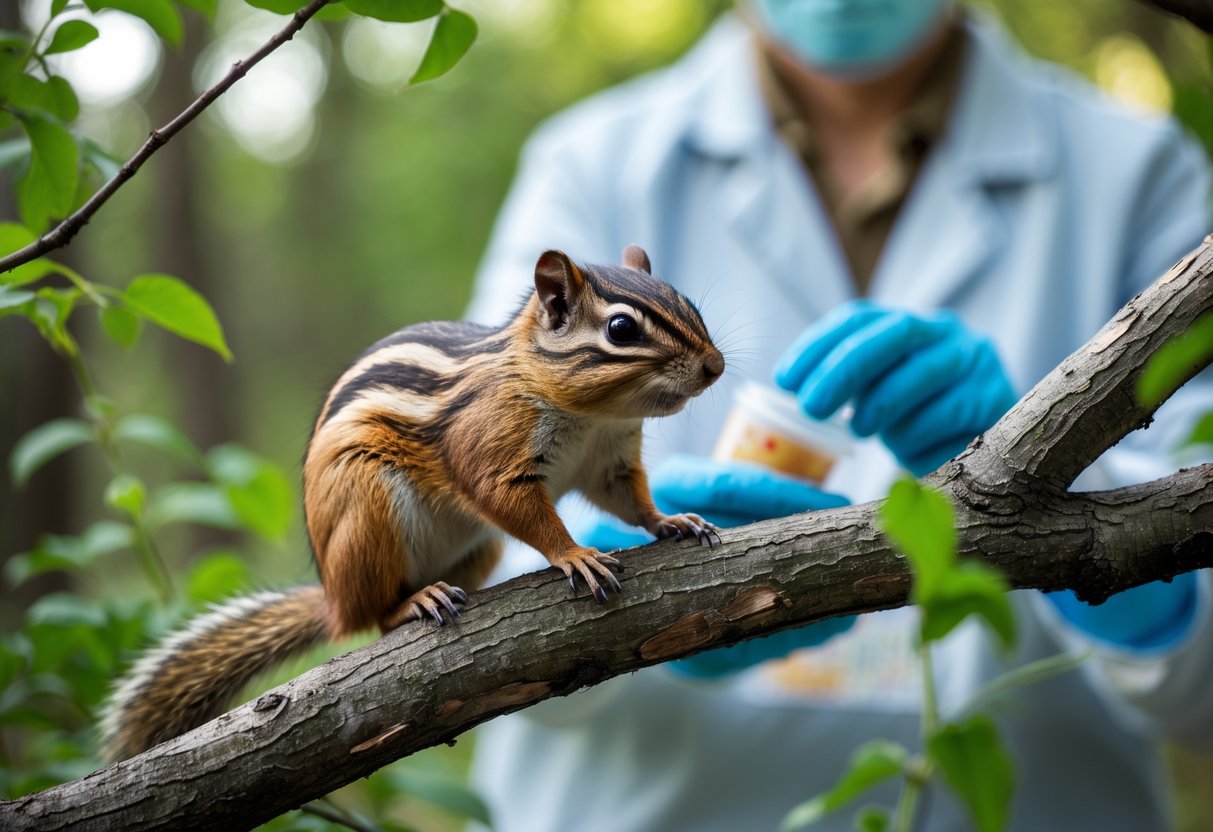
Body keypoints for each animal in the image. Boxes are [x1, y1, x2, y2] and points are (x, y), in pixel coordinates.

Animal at [100, 246, 725, 760]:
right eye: (621, 329)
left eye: (687, 300)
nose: (715, 367)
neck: (594, 415)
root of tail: (332, 596)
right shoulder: (491, 445)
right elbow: (510, 501)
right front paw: (574, 554)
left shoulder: (609, 461)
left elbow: (631, 501)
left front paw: (672, 521)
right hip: (368, 510)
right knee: (373, 618)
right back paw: (413, 602)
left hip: (477, 547)